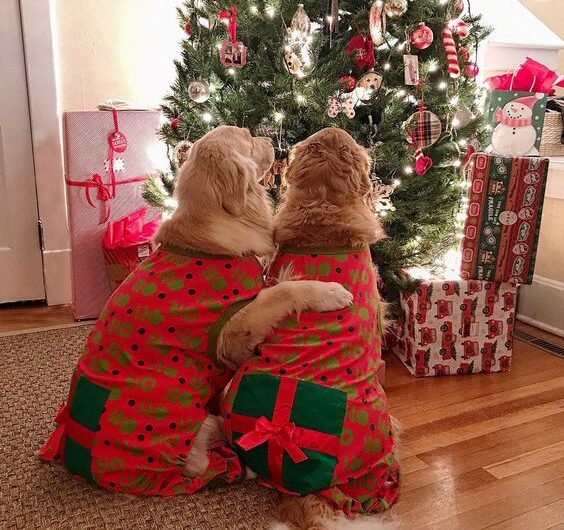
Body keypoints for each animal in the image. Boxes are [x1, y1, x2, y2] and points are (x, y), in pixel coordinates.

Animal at [41, 126, 352, 492]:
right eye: (248, 138)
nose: (277, 146)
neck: (211, 226)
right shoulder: (236, 324)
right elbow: (283, 291)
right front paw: (331, 292)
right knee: (200, 462)